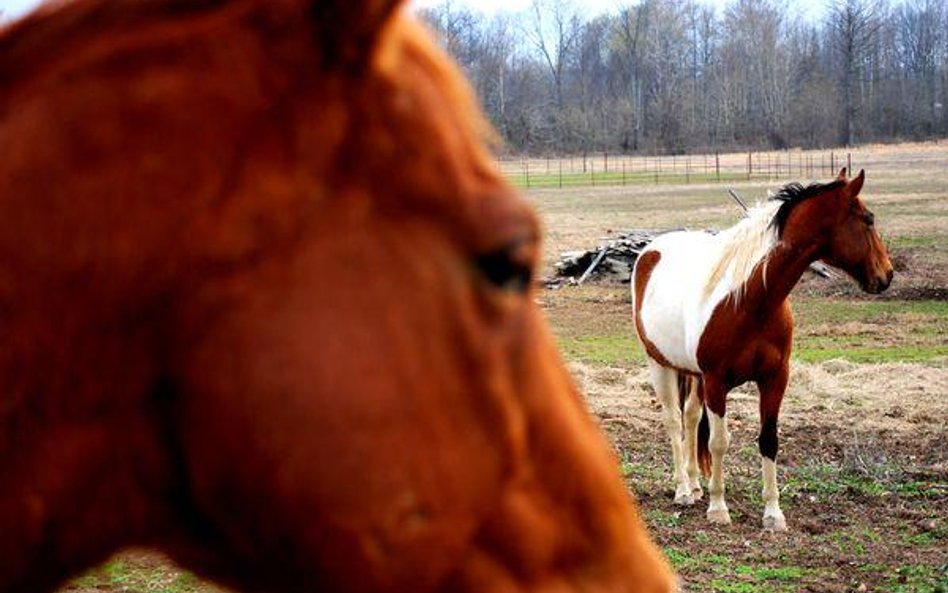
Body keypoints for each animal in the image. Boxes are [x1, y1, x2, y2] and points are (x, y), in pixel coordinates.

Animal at [632, 169, 892, 528]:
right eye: (868, 219)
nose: (887, 275)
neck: (752, 301)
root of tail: (652, 251)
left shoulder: (774, 378)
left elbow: (768, 440)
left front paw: (773, 513)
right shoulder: (717, 382)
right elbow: (719, 442)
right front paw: (718, 508)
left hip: (693, 375)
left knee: (690, 417)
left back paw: (696, 486)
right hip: (660, 364)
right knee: (673, 421)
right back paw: (683, 490)